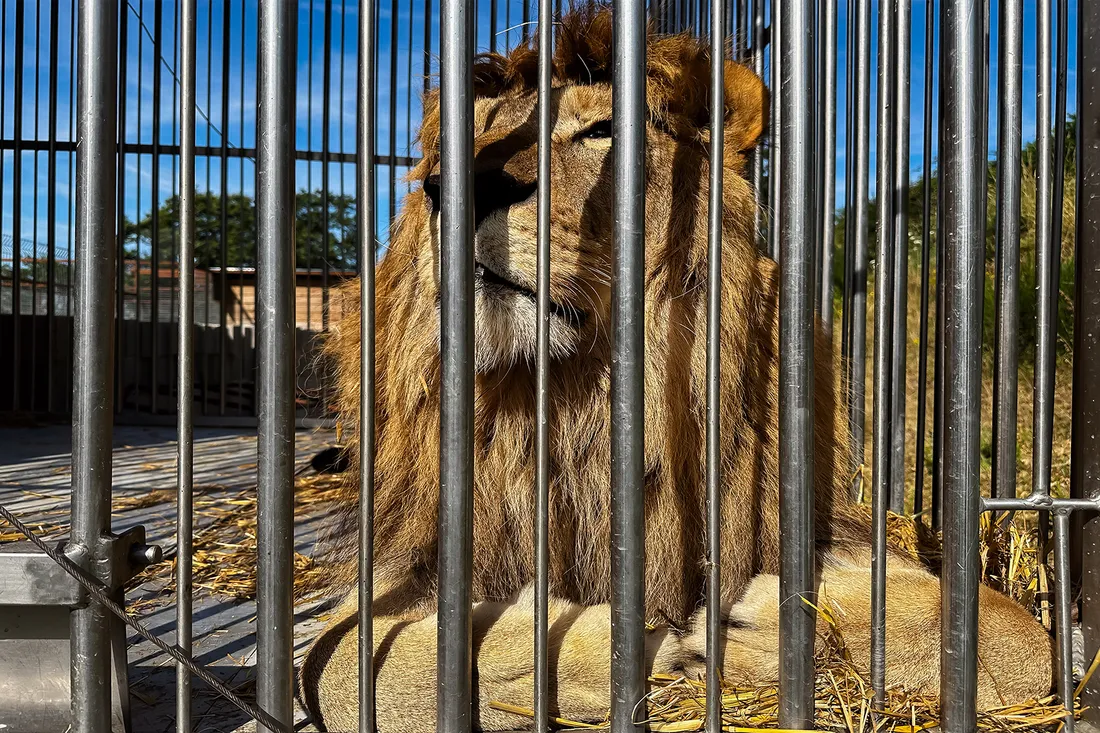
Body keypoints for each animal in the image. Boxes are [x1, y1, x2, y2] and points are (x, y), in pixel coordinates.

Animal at [299, 5, 1052, 731]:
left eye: (602, 129)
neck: (577, 397)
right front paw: (614, 636)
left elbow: (1015, 637)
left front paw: (775, 627)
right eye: (466, 139)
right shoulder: (400, 569)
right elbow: (349, 666)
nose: (456, 186)